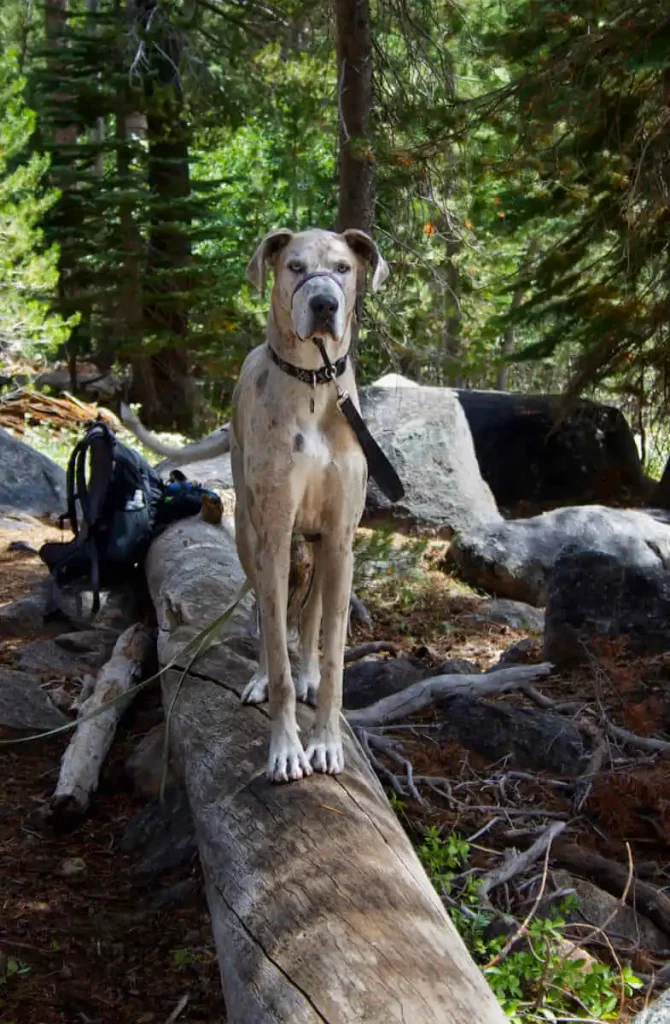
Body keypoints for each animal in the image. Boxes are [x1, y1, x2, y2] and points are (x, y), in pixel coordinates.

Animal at [123, 228, 391, 778]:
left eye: (343, 268)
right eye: (294, 266)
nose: (325, 303)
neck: (313, 387)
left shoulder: (340, 541)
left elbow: (333, 655)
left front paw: (326, 740)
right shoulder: (272, 534)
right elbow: (273, 635)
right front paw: (286, 748)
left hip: (318, 548)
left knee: (307, 620)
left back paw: (306, 671)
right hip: (254, 536)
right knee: (268, 619)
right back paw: (266, 676)